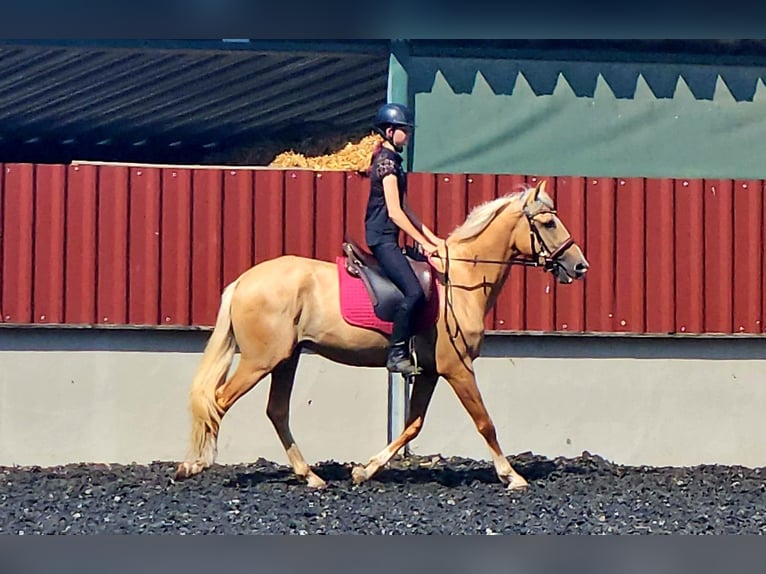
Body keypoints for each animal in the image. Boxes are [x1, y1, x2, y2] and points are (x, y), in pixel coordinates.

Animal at [177, 179, 592, 490]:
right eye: (549, 223)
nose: (580, 266)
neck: (462, 280)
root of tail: (243, 280)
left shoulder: (429, 372)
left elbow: (412, 425)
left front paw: (365, 470)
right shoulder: (457, 369)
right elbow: (484, 422)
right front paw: (513, 476)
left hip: (285, 359)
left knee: (275, 410)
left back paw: (310, 476)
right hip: (260, 361)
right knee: (218, 401)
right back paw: (194, 465)